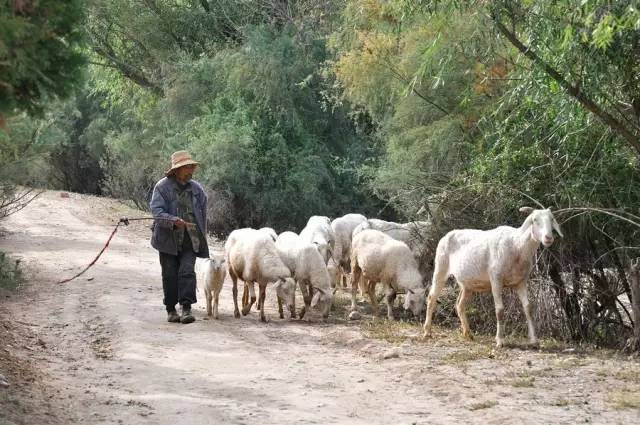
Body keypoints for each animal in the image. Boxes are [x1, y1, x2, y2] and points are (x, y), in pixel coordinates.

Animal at [422, 207, 564, 346]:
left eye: (552, 219)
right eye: (535, 220)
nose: (548, 238)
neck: (517, 246)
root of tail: (446, 235)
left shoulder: (521, 281)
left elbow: (528, 308)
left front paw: (534, 340)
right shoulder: (496, 278)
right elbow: (499, 310)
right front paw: (500, 340)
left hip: (467, 284)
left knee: (459, 305)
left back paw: (468, 334)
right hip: (440, 268)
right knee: (431, 298)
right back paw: (427, 332)